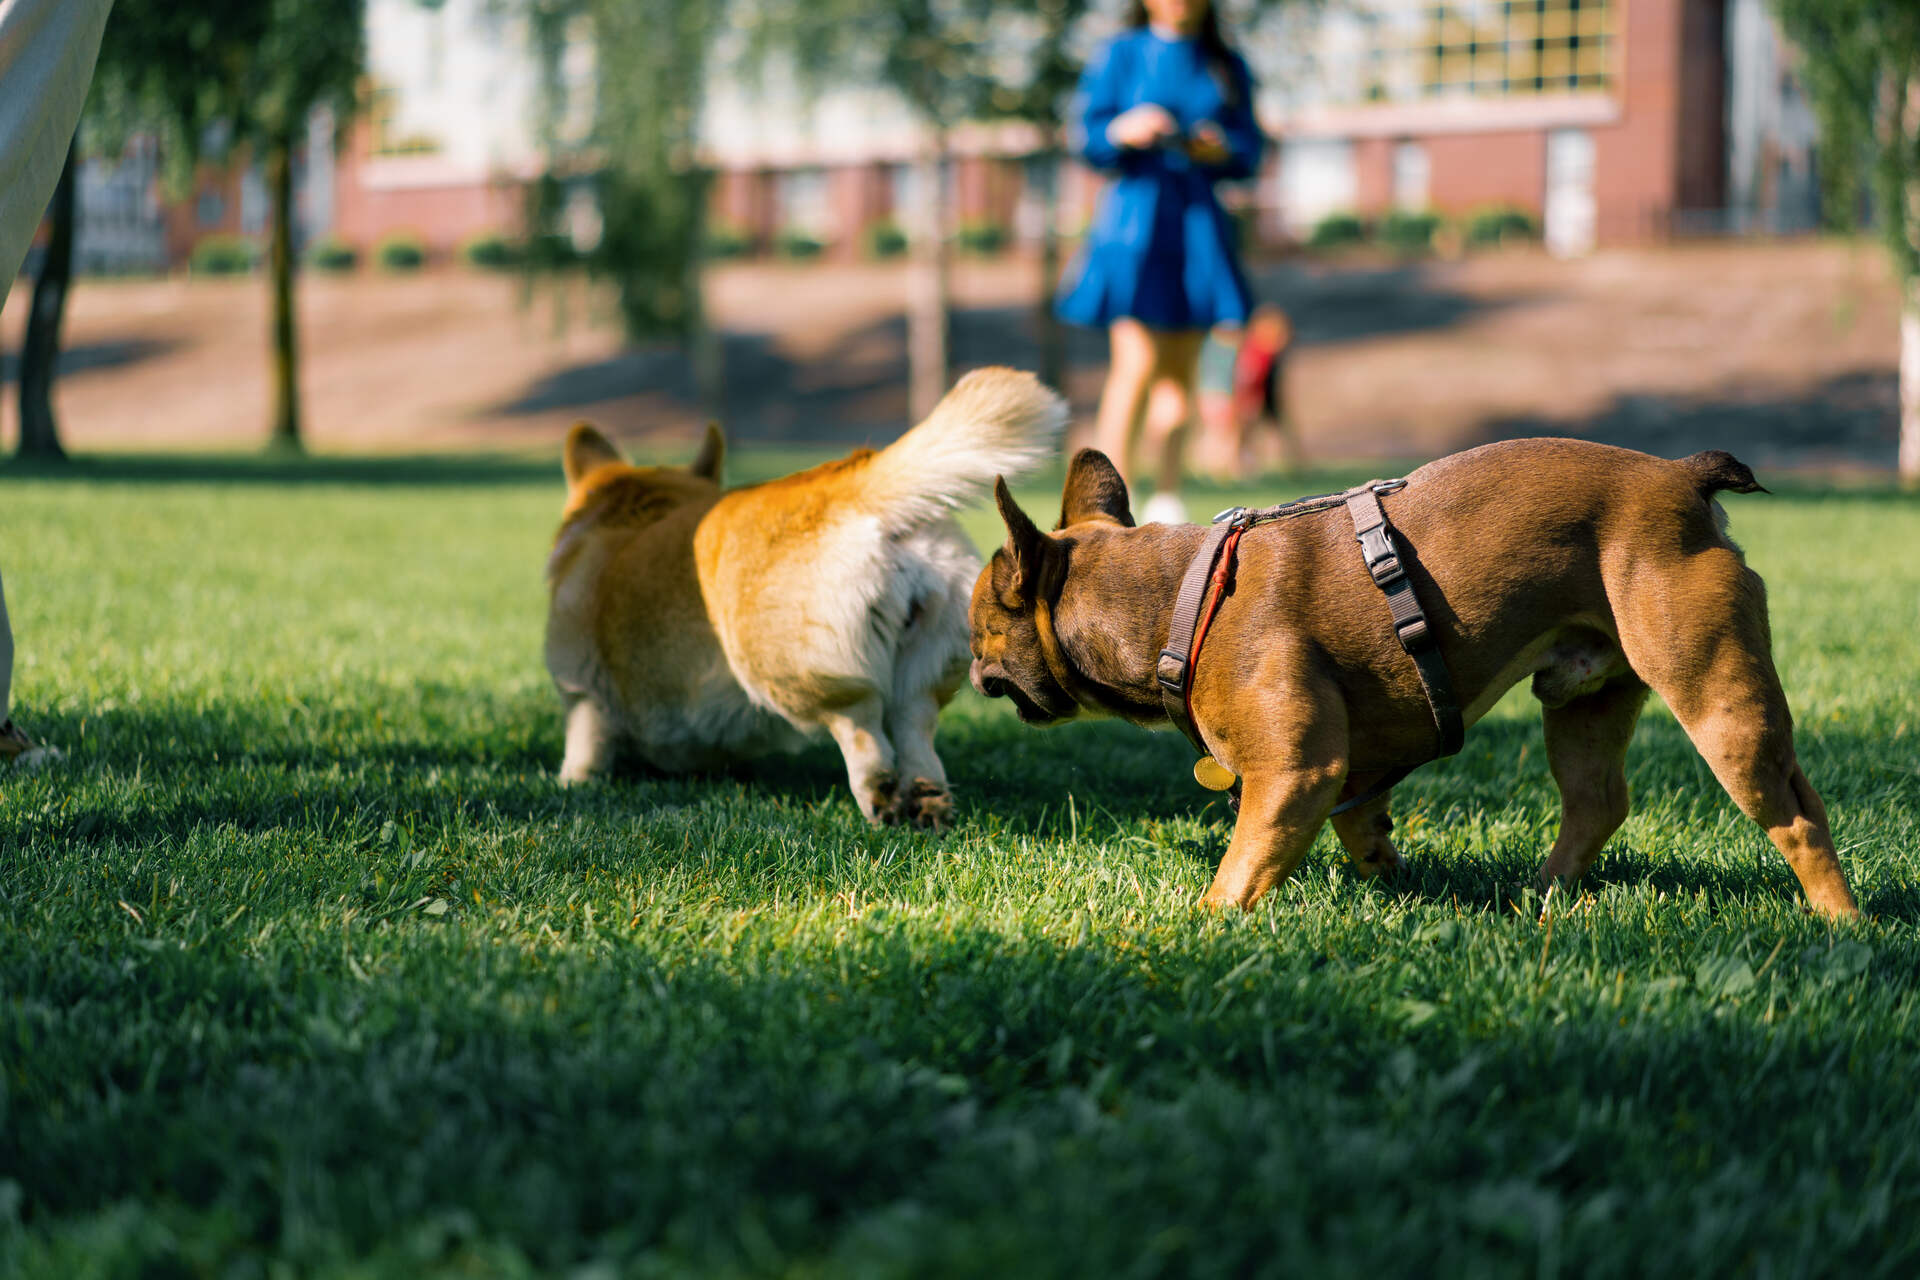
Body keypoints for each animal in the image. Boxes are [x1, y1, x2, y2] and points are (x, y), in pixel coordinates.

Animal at [967, 443, 1866, 921]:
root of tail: (1682, 476)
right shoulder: (1347, 776)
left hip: (1718, 698)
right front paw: (1391, 882)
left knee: (1796, 814)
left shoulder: (1293, 773)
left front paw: (1204, 925)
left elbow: (1243, 863)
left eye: (980, 624)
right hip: (1584, 702)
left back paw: (1842, 924)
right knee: (1598, 801)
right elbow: (1359, 827)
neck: (1176, 601)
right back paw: (1539, 899)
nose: (970, 667)